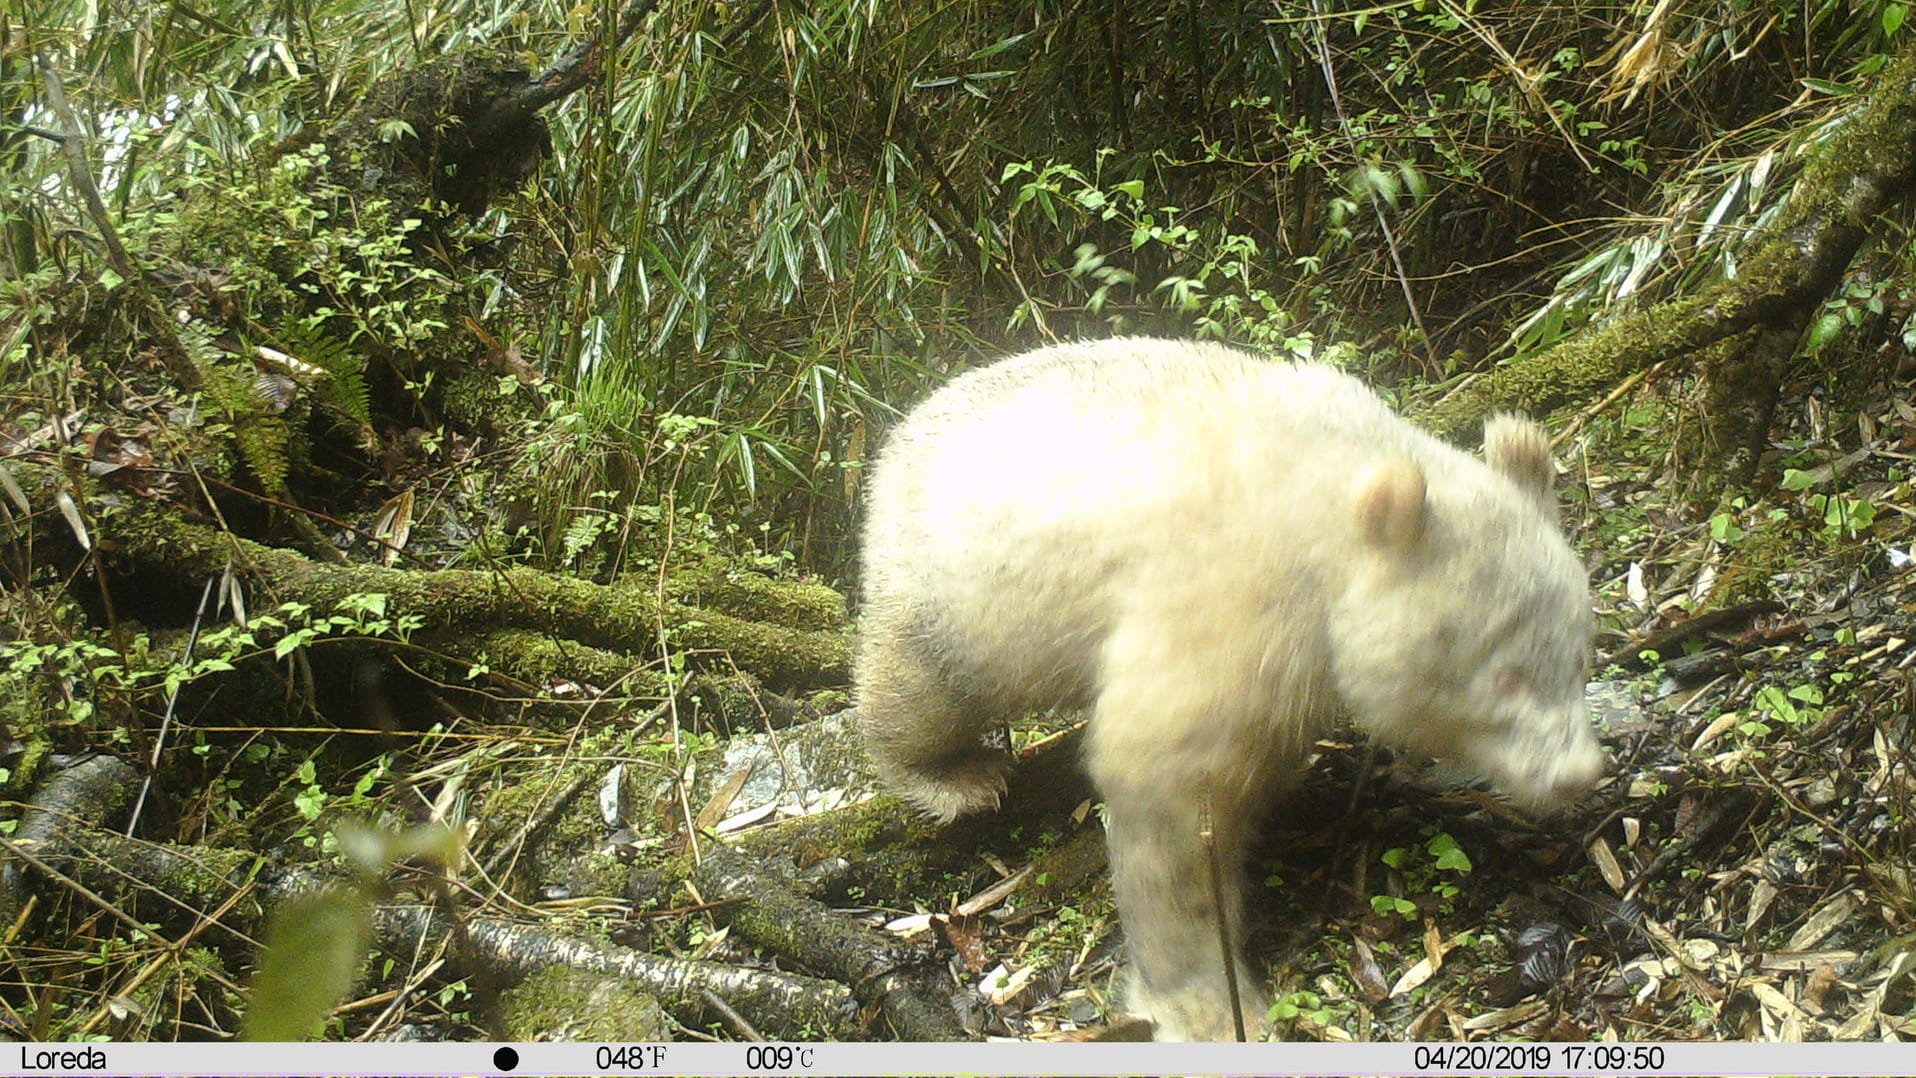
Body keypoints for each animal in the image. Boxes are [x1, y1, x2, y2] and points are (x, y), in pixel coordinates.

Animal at [854, 338, 1601, 1049]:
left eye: (1580, 654)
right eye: (1506, 674)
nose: (1579, 772)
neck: (1330, 493)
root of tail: (901, 432)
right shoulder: (1234, 593)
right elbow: (1167, 782)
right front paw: (1205, 1003)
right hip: (950, 587)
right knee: (920, 685)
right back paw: (953, 774)